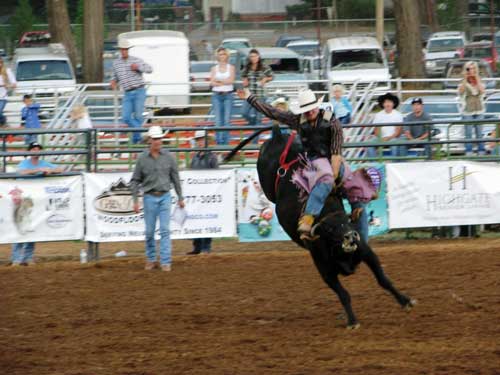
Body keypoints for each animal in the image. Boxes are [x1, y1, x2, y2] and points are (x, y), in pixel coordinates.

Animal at [227, 125, 414, 328]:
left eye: (348, 222)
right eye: (331, 230)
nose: (351, 236)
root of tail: (277, 135)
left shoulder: (365, 252)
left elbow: (383, 279)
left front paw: (405, 301)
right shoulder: (324, 269)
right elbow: (343, 294)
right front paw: (352, 320)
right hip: (267, 183)